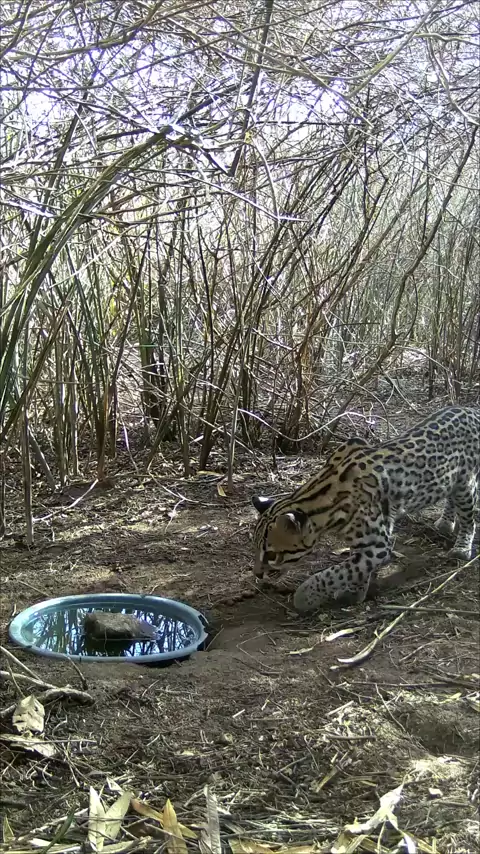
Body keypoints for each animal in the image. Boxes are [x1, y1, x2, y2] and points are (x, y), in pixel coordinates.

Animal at [251, 406, 479, 614]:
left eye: (271, 555)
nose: (257, 574)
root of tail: (471, 409)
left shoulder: (378, 545)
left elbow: (339, 571)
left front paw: (305, 595)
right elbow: (355, 566)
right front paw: (356, 592)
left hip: (466, 483)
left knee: (469, 518)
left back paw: (461, 547)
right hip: (452, 481)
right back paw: (446, 522)